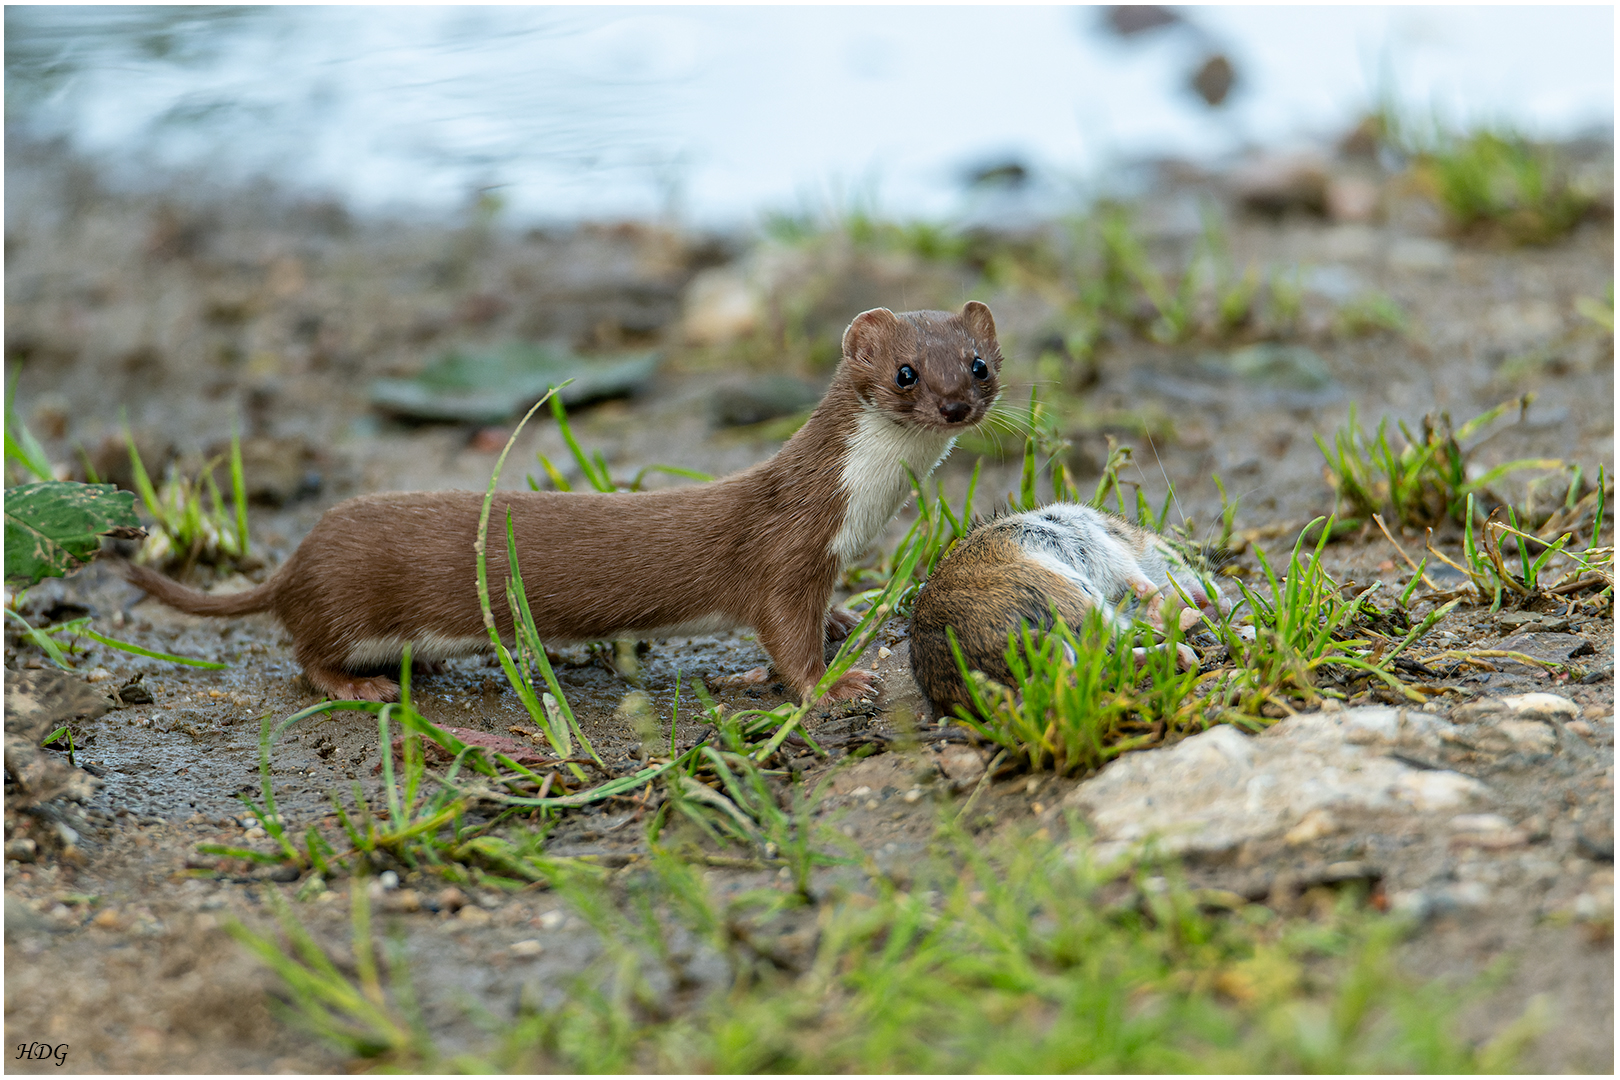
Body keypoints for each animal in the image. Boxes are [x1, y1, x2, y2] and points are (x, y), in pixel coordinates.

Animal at [123, 304, 997, 709]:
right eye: (907, 371)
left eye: (980, 363)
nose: (956, 405)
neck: (862, 511)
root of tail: (294, 559)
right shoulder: (783, 554)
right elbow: (785, 639)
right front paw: (836, 686)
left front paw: (847, 621)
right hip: (341, 603)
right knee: (305, 654)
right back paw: (359, 686)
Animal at [913, 505, 1224, 718]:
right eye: (1177, 554)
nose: (1221, 604)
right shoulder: (1104, 544)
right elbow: (1139, 579)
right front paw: (1158, 598)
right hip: (1071, 592)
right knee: (1117, 647)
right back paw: (1184, 632)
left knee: (1111, 656)